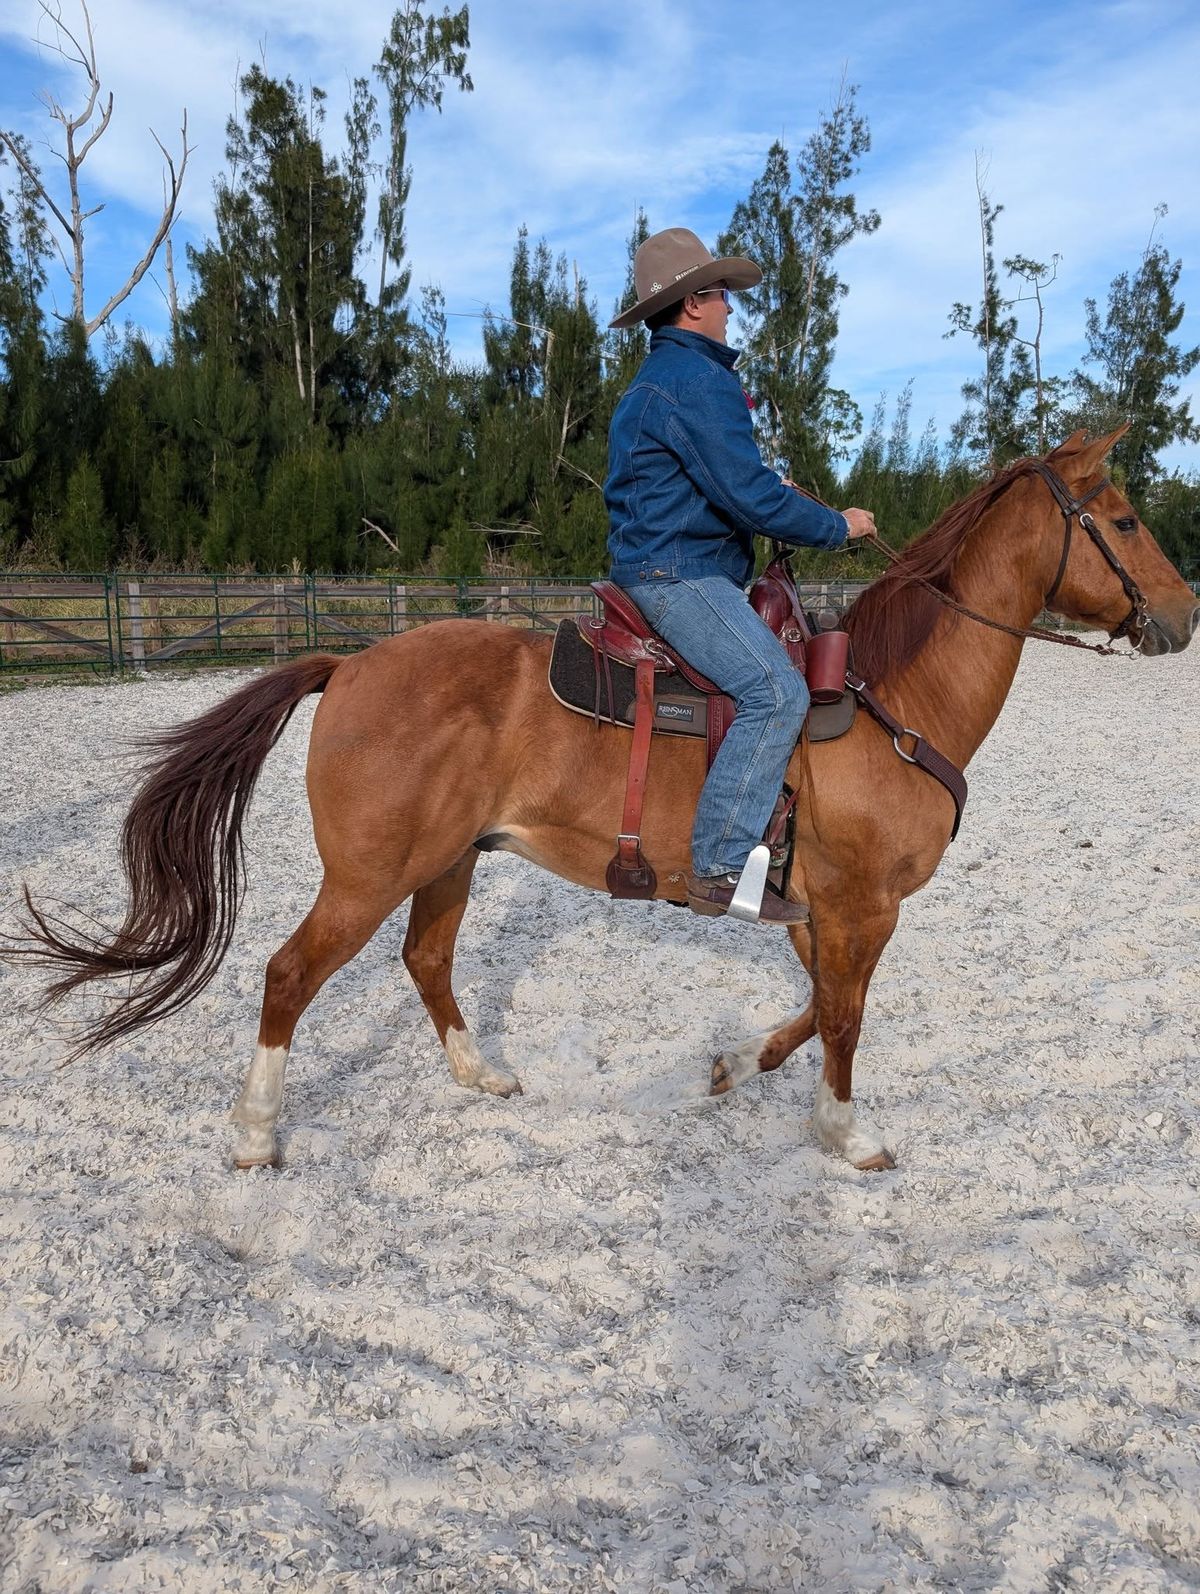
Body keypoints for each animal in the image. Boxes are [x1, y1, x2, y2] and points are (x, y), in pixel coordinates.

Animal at [14, 424, 1192, 1173]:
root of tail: (348, 664)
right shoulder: (866, 907)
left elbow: (818, 1009)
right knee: (289, 974)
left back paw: (481, 1075)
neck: (889, 698)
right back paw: (257, 1135)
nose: (1183, 615)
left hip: (449, 862)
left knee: (425, 960)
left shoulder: (820, 909)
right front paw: (848, 1135)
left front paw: (737, 1065)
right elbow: (848, 1019)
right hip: (368, 873)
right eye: (1129, 519)